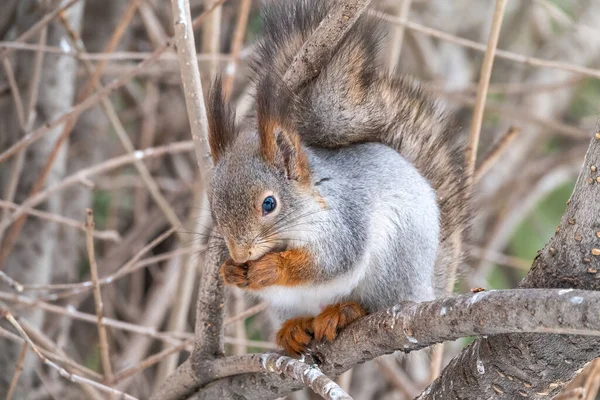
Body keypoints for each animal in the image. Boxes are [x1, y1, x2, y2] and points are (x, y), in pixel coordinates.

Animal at [205, 0, 468, 356]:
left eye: (269, 204)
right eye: (214, 207)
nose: (241, 254)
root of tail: (425, 288)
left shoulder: (343, 223)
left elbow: (329, 262)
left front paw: (272, 267)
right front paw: (229, 270)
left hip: (392, 265)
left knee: (374, 304)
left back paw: (345, 311)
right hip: (288, 304)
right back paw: (294, 329)